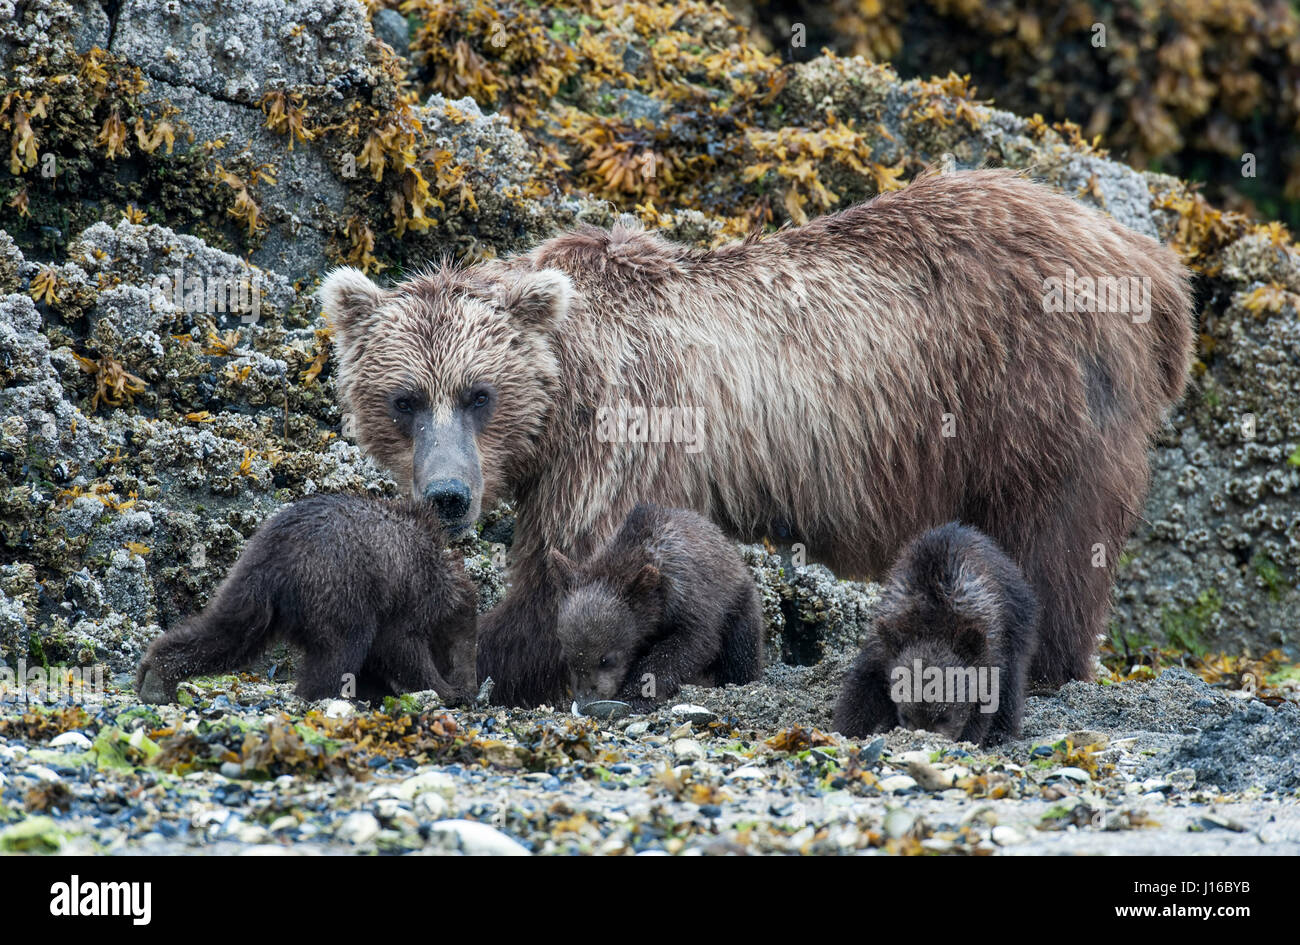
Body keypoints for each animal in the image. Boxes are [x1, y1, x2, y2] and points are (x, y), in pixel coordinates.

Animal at [135, 494, 478, 705]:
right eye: (459, 650)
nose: (473, 688)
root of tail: (279, 556)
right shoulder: (407, 598)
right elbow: (401, 647)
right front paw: (445, 690)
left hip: (248, 583)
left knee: (226, 632)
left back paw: (156, 679)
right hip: (337, 585)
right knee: (341, 649)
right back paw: (318, 695)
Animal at [548, 503, 763, 712]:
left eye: (606, 659)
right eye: (569, 658)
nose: (585, 701)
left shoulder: (690, 597)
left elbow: (689, 645)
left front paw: (636, 695)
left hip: (738, 604)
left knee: (741, 650)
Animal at [832, 522, 1039, 745]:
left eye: (945, 716)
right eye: (905, 715)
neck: (933, 625)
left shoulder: (988, 650)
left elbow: (986, 698)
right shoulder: (883, 647)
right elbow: (861, 692)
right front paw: (847, 730)